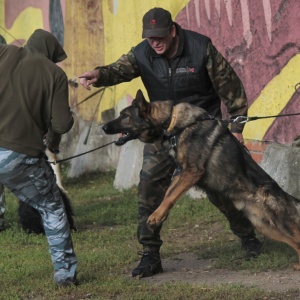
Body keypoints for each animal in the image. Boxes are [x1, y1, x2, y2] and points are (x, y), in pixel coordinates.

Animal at [102, 90, 300, 270]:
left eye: (125, 116)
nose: (103, 128)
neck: (172, 122)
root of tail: (286, 196)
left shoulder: (191, 171)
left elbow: (171, 195)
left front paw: (155, 216)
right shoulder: (180, 172)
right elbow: (168, 193)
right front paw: (160, 213)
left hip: (279, 223)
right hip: (267, 228)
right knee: (295, 242)